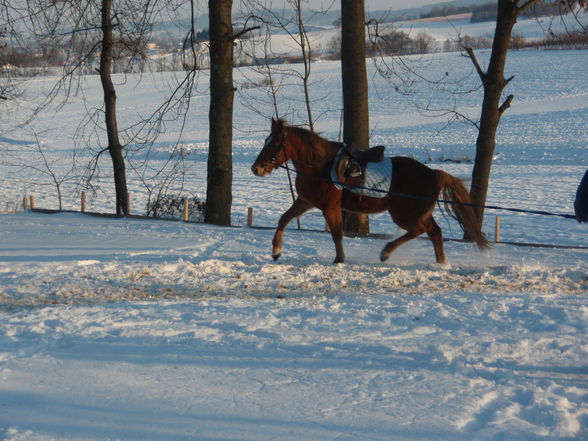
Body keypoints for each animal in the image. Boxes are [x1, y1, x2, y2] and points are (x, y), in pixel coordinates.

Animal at [250, 117, 490, 262]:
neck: (320, 165)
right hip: (417, 213)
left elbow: (336, 233)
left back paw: (387, 252)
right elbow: (284, 219)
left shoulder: (329, 207)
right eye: (266, 141)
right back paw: (441, 263)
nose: (256, 168)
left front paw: (339, 259)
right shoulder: (305, 202)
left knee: (422, 230)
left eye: (274, 144)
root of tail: (433, 173)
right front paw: (276, 251)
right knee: (434, 232)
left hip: (405, 214)